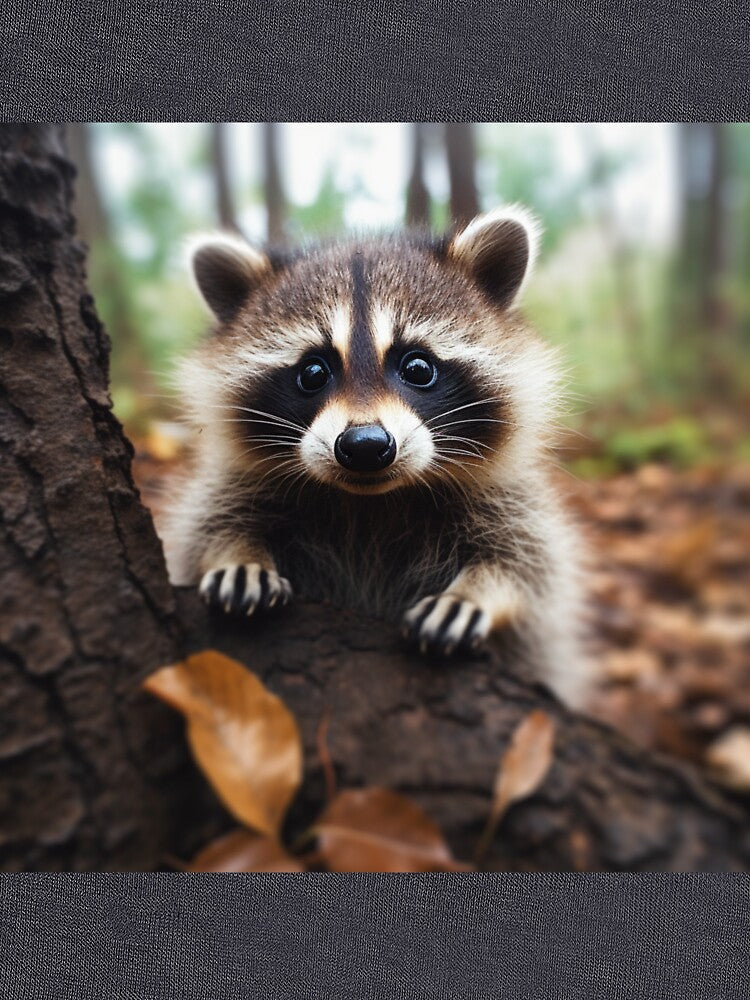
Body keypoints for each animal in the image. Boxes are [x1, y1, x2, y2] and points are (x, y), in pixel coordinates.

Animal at [163, 206, 589, 704]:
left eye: (418, 367)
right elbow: (208, 526)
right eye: (313, 372)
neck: (371, 501)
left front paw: (472, 593)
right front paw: (236, 555)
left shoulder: (508, 496)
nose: (365, 446)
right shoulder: (233, 481)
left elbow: (527, 564)